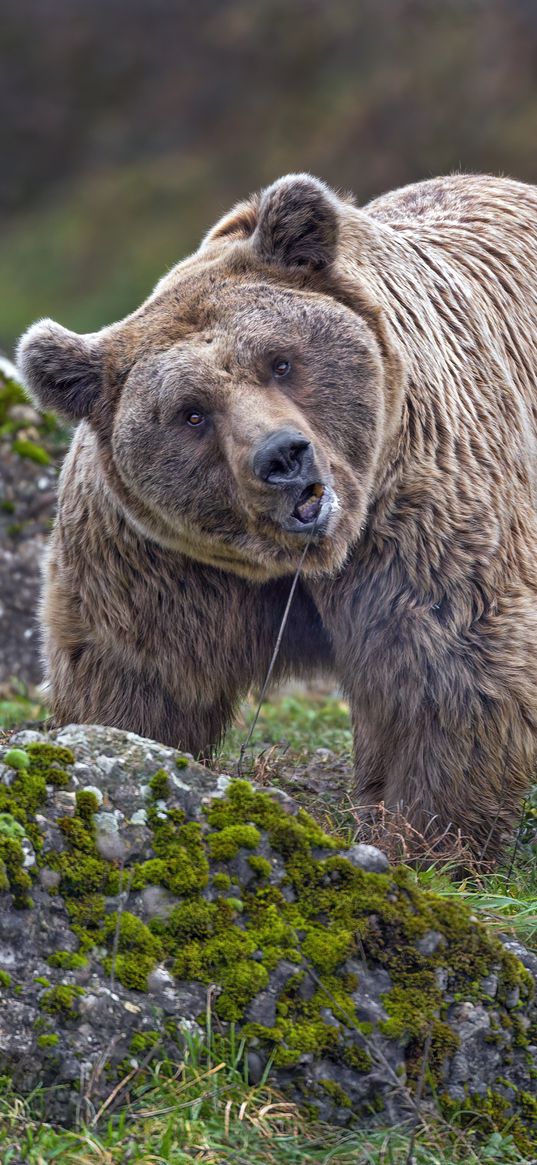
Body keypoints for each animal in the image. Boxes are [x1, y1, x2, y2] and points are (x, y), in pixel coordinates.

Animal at [15, 177, 535, 862]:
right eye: (191, 412)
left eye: (280, 361)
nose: (283, 456)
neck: (299, 561)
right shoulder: (153, 558)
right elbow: (136, 678)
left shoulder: (415, 501)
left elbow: (447, 661)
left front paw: (423, 838)